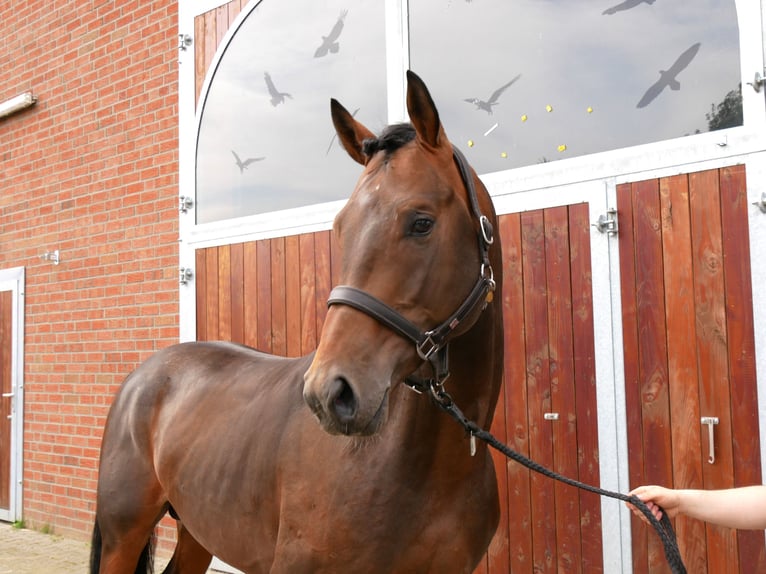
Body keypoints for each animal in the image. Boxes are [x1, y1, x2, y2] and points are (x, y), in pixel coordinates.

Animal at [91, 72, 504, 574]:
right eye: (340, 227)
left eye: (421, 223)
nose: (330, 394)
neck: (431, 468)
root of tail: (143, 375)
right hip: (123, 535)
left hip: (197, 531)